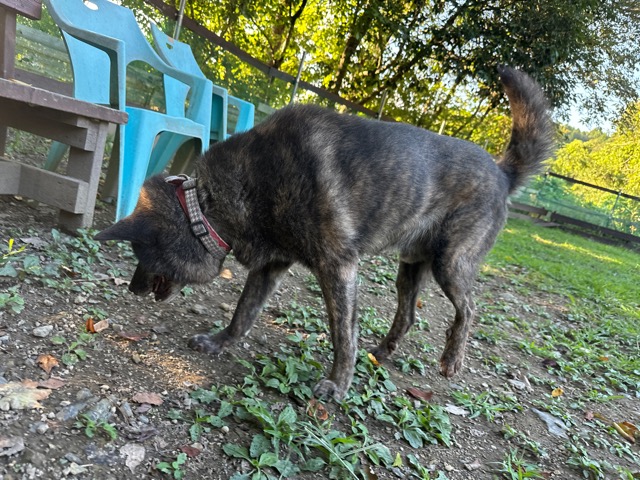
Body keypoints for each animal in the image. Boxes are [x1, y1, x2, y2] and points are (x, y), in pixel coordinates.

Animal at [95, 66, 553, 401]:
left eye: (139, 253)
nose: (131, 289)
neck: (207, 204)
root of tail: (502, 171)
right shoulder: (271, 266)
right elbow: (244, 313)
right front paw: (220, 342)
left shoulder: (339, 268)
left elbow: (342, 336)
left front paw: (338, 384)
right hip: (410, 267)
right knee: (406, 315)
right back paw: (382, 353)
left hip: (451, 264)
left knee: (469, 309)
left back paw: (452, 359)